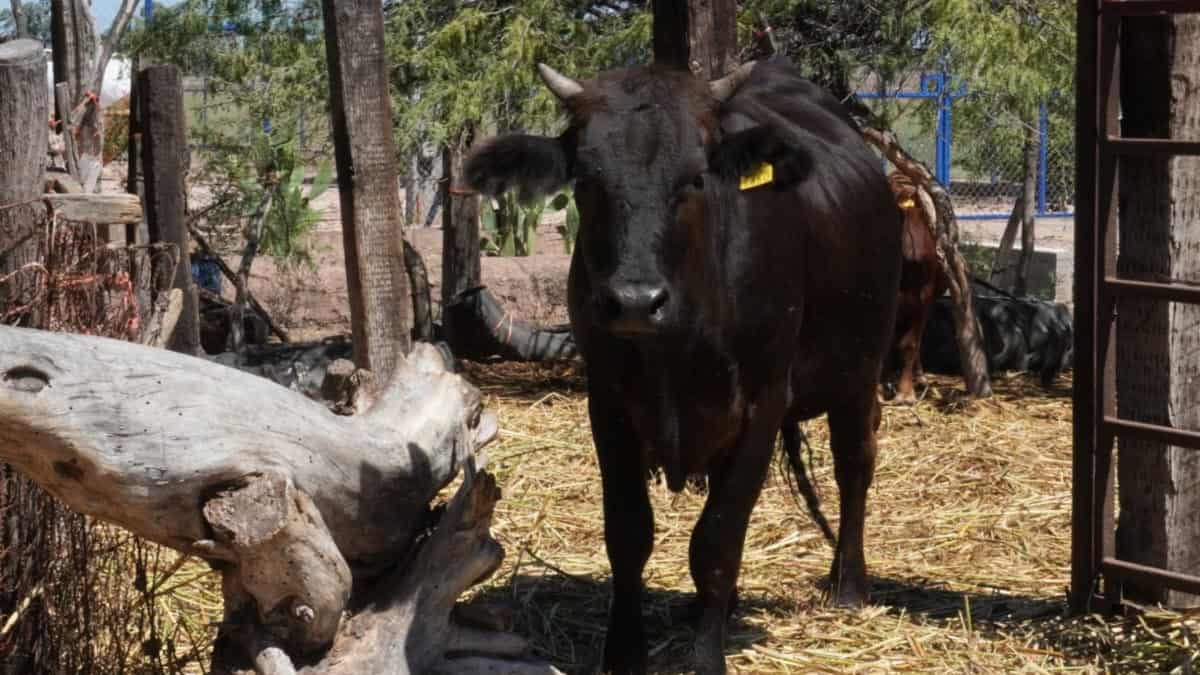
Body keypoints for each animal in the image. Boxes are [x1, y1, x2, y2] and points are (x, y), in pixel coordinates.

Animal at [463, 59, 902, 672]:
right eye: (587, 180)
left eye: (695, 178)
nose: (634, 301)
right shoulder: (609, 405)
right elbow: (628, 535)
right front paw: (626, 652)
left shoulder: (763, 404)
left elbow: (717, 541)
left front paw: (705, 658)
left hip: (861, 370)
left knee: (854, 466)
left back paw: (848, 585)